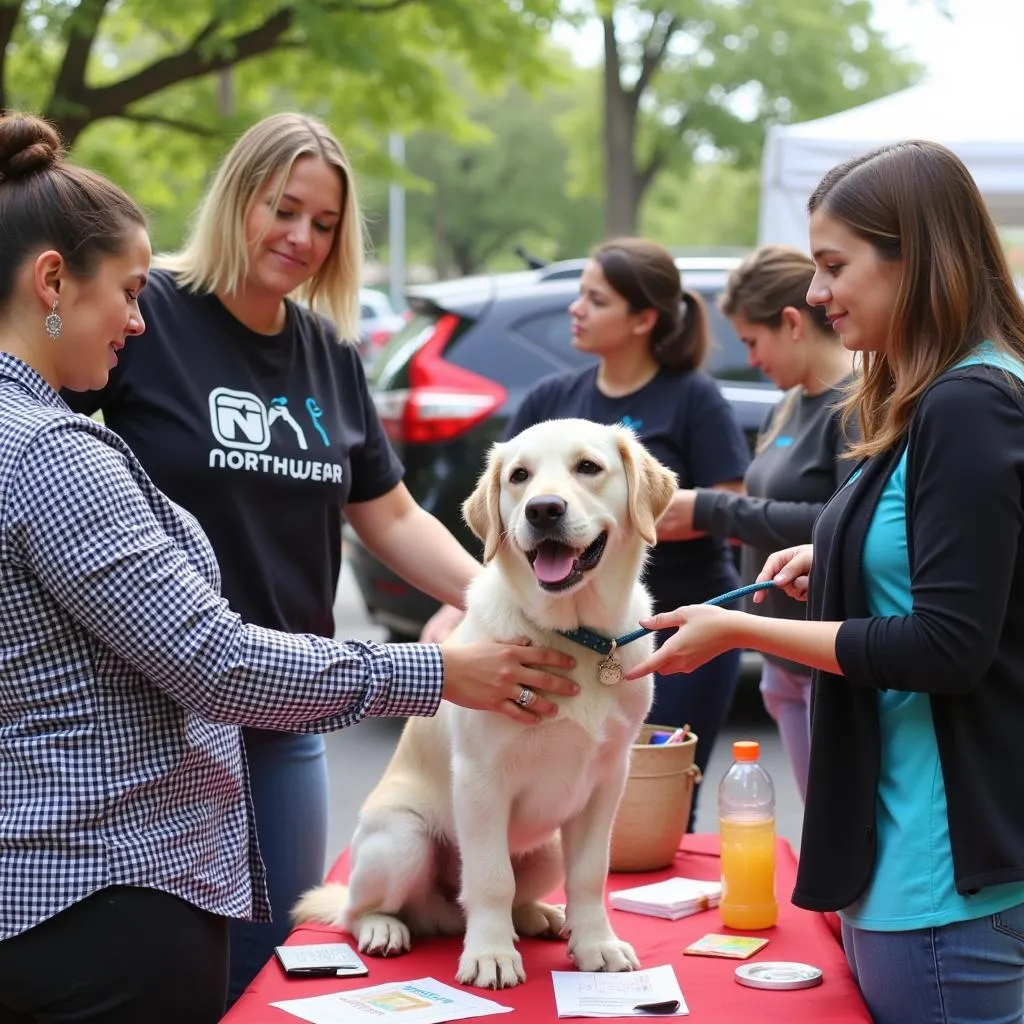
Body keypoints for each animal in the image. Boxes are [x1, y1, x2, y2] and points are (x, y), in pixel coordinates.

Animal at [294, 419, 679, 987]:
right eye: (519, 476)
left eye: (588, 467)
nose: (543, 510)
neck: (574, 636)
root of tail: (439, 917)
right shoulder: (480, 779)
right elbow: (491, 877)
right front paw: (492, 955)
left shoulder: (609, 777)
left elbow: (591, 873)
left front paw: (596, 944)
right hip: (402, 839)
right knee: (357, 910)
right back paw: (385, 927)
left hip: (546, 849)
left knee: (521, 892)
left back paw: (541, 916)